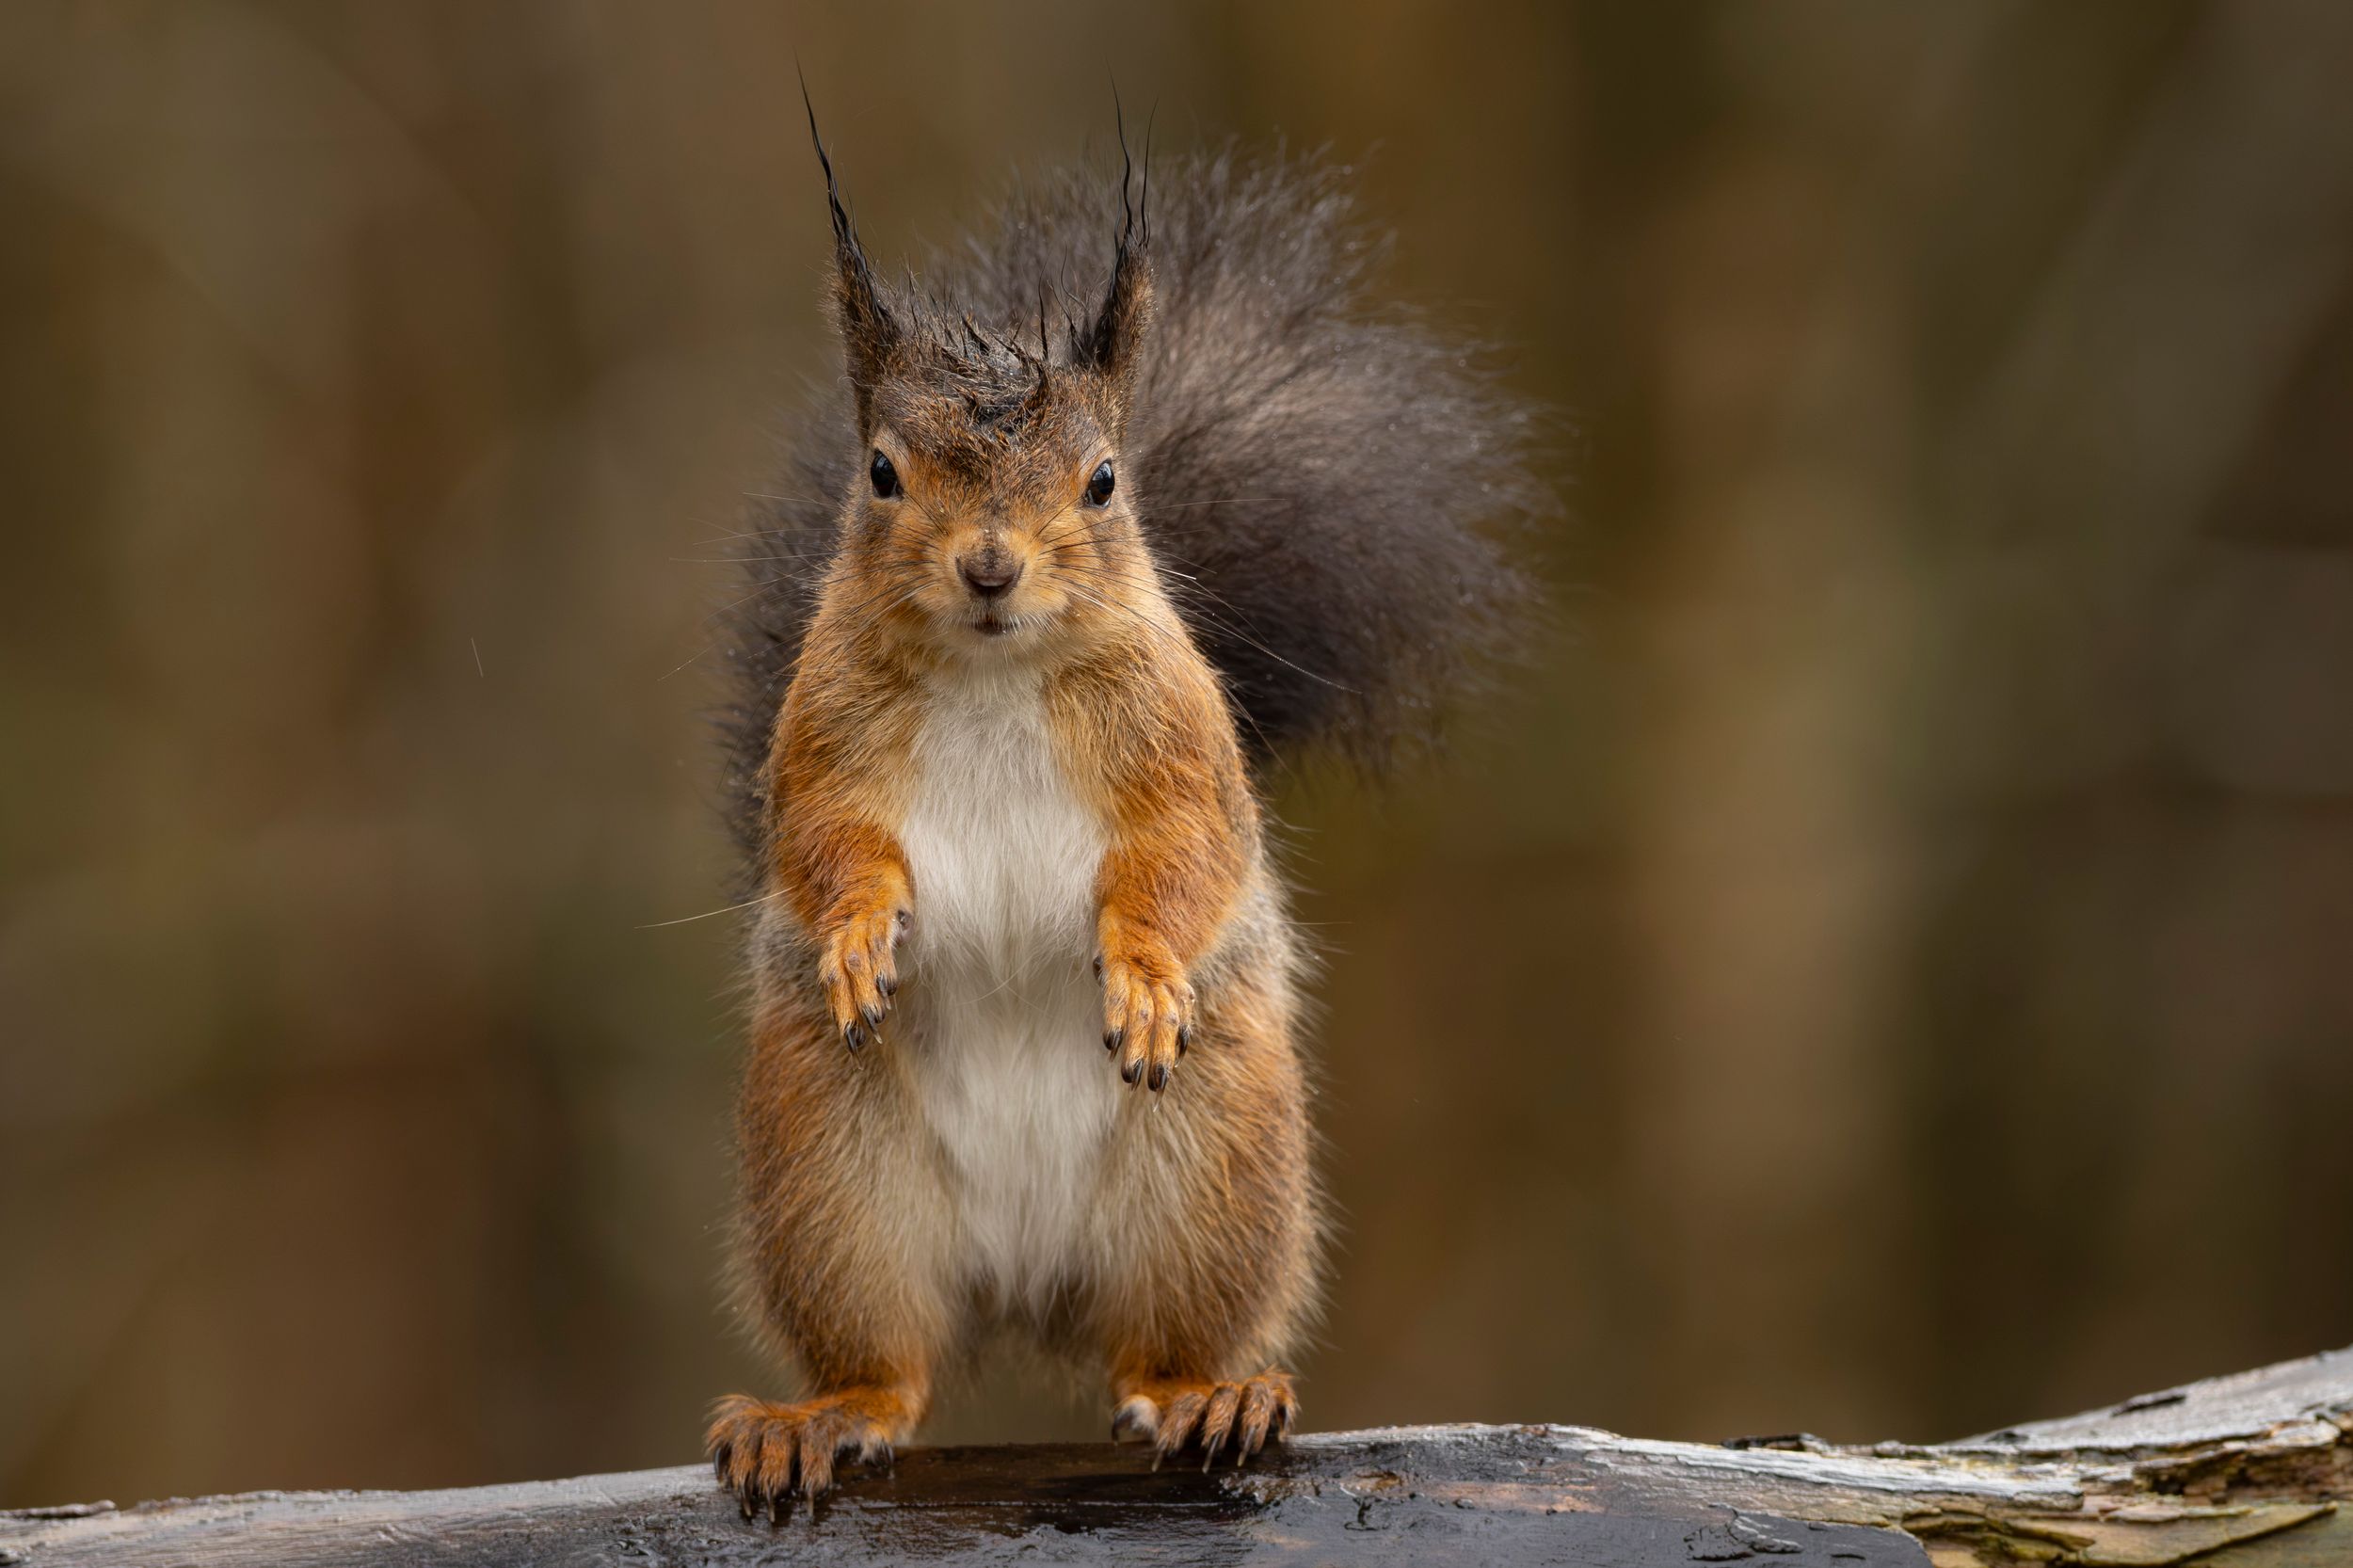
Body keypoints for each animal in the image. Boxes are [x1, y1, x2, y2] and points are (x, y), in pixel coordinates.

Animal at [704, 102, 1546, 1516]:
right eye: (879, 472)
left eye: (1103, 481)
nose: (990, 566)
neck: (995, 671)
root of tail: (1023, 1288)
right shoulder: (817, 746)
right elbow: (822, 844)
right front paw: (856, 935)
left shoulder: (1182, 751)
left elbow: (1183, 856)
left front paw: (1145, 973)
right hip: (835, 1186)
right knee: (888, 1364)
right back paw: (820, 1414)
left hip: (1209, 1174)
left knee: (1160, 1344)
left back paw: (1212, 1393)